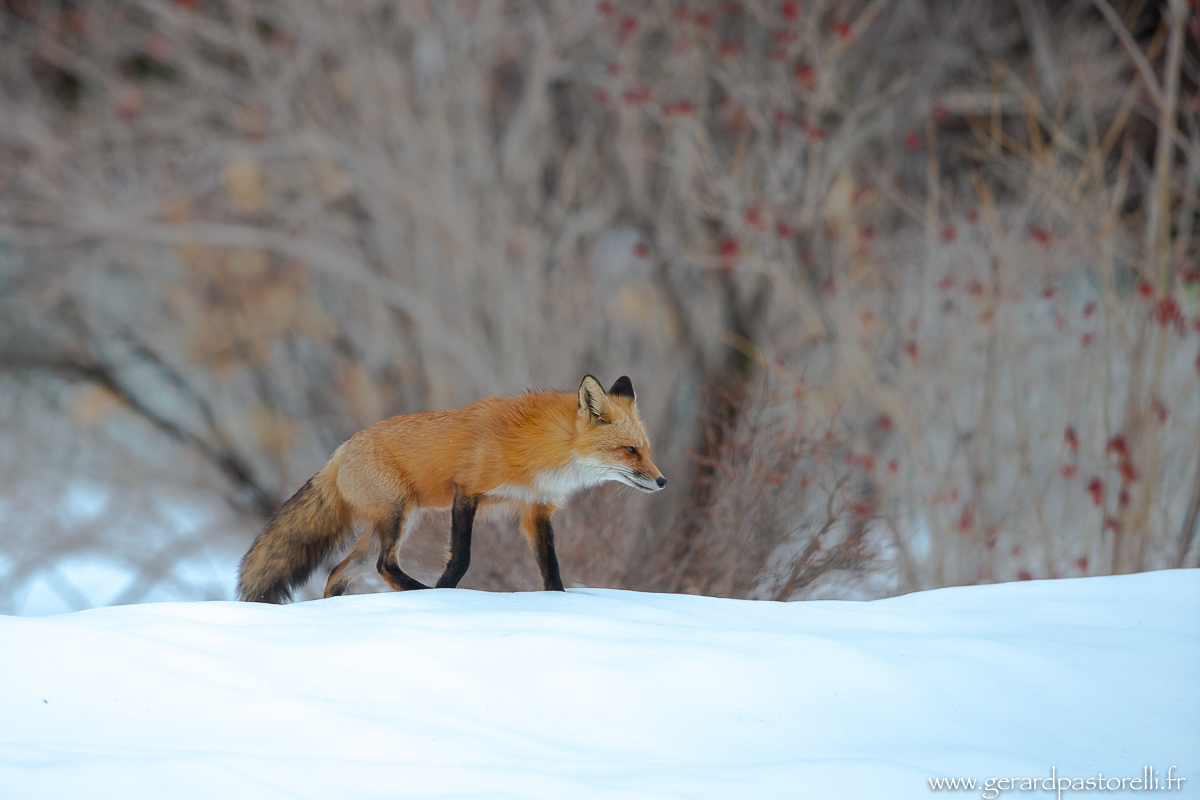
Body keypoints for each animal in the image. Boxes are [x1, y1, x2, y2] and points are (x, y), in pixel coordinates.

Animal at [237, 375, 666, 603]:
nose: (663, 481)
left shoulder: (535, 509)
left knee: (339, 571)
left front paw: (558, 602)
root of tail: (340, 450)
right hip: (397, 515)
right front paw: (446, 593)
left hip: (389, 526)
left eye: (646, 449)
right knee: (383, 565)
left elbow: (551, 571)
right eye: (629, 450)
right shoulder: (468, 491)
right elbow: (461, 557)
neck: (545, 449)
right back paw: (420, 592)